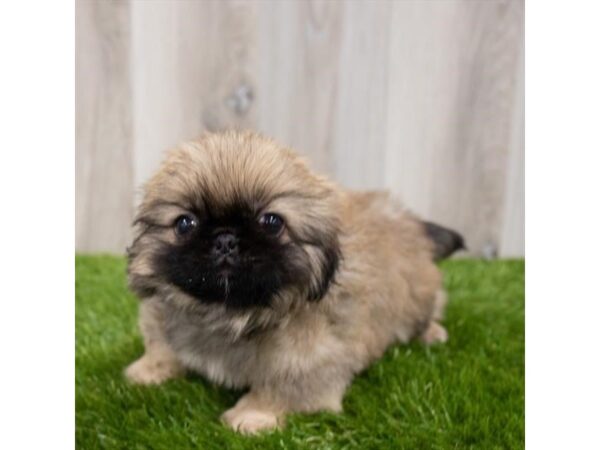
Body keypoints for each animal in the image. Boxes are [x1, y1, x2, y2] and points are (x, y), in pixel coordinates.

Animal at [125, 130, 464, 432]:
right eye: (185, 223)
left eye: (272, 222)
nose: (225, 239)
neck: (228, 315)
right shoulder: (161, 314)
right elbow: (161, 346)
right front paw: (148, 370)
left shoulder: (310, 359)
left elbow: (279, 387)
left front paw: (252, 416)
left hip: (418, 296)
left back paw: (432, 333)